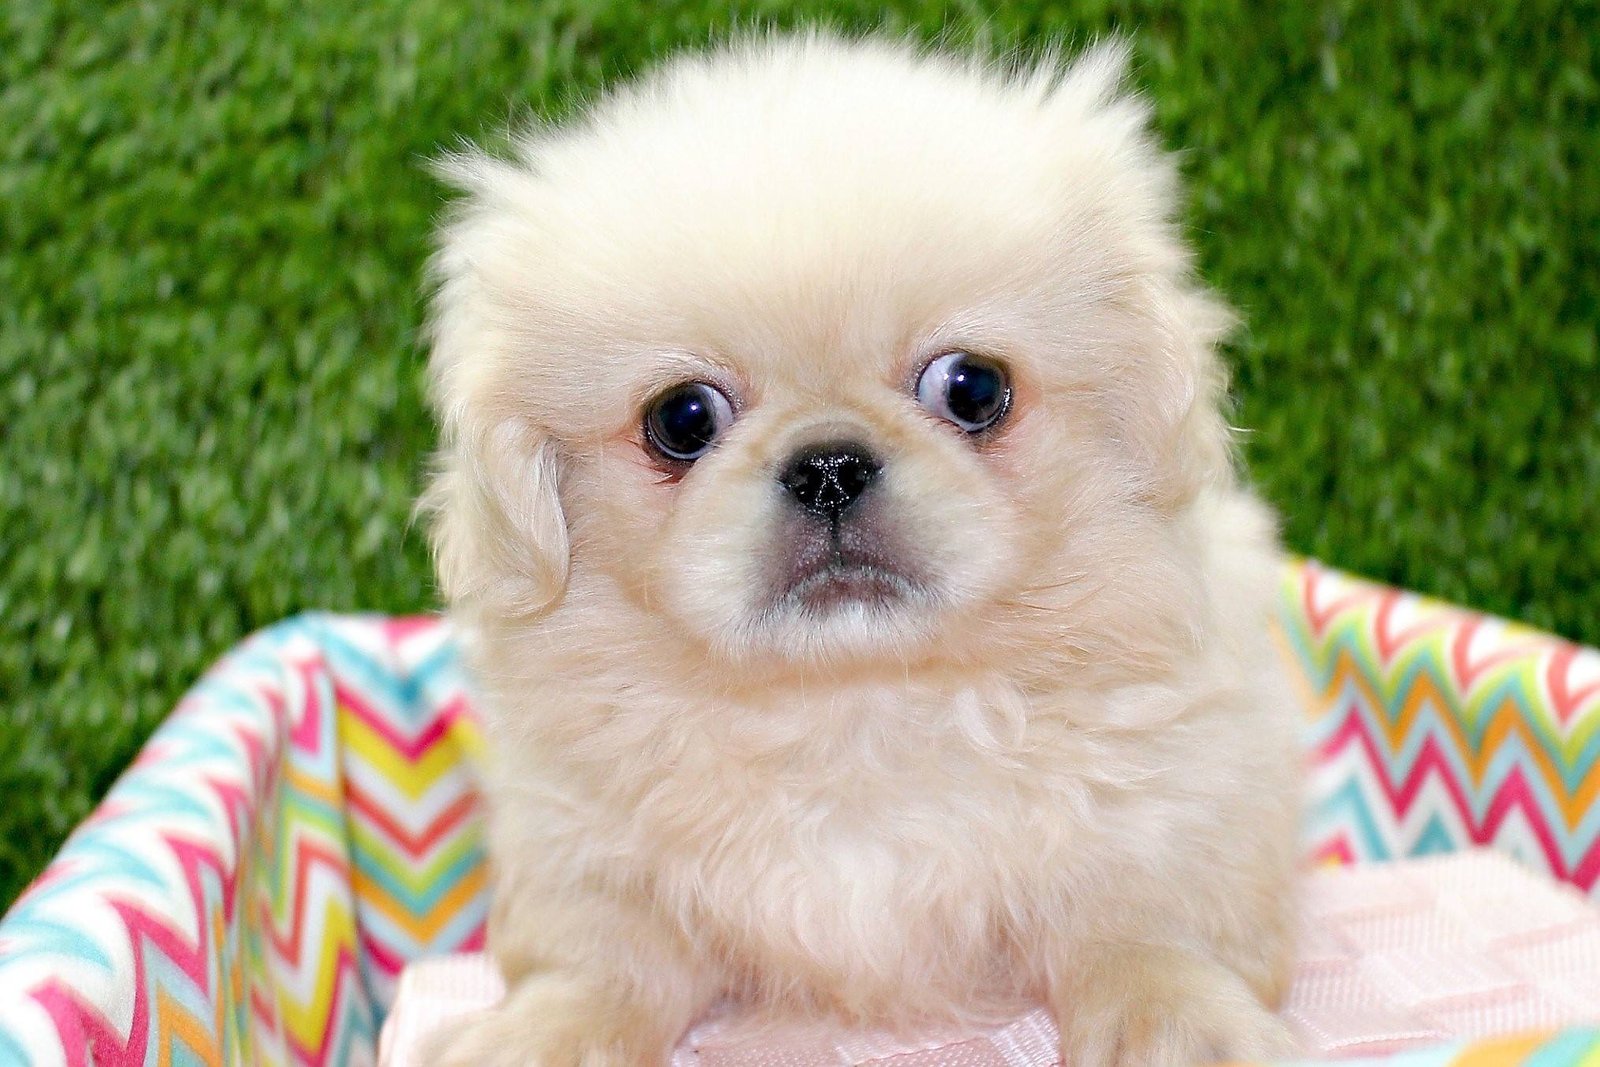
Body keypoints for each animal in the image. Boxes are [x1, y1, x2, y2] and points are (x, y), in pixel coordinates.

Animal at [425, 33, 1299, 1067]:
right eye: (681, 420)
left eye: (973, 388)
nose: (829, 465)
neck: (854, 705)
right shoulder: (579, 843)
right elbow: (602, 960)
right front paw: (542, 1032)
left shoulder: (1179, 799)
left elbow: (1149, 931)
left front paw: (1180, 1022)